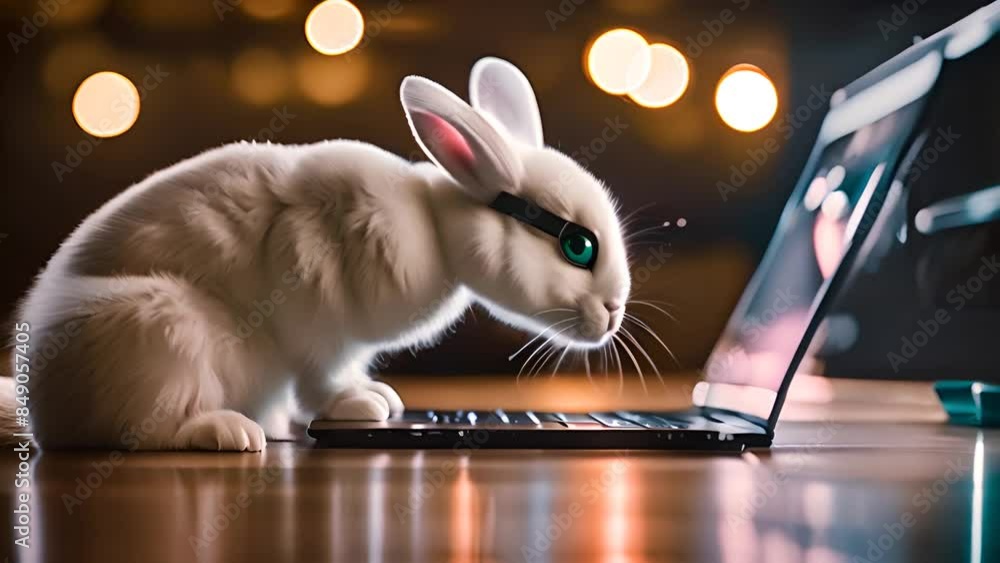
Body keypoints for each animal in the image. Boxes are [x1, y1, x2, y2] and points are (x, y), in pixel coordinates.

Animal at [2, 57, 632, 451]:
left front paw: (381, 398)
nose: (614, 314)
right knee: (144, 431)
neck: (435, 225)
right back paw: (229, 433)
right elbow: (323, 378)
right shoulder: (318, 321)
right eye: (577, 246)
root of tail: (37, 412)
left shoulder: (344, 343)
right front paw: (363, 407)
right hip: (161, 331)